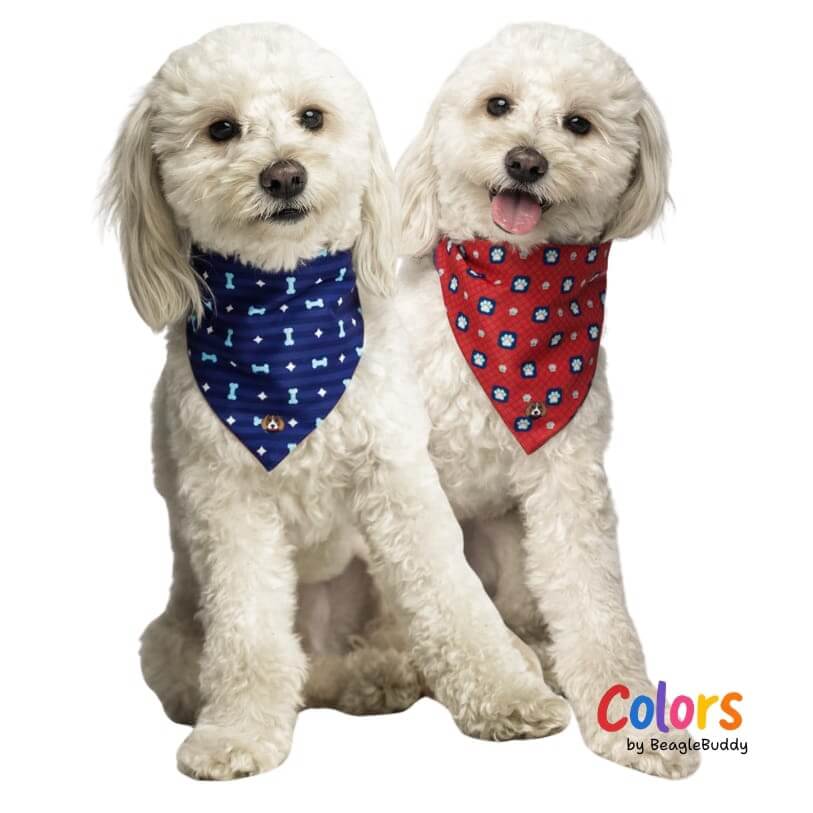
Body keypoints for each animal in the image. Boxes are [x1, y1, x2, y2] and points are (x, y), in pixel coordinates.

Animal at [102, 23, 562, 780]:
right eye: (221, 129)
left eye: (312, 117)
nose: (285, 174)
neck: (284, 321)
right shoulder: (229, 504)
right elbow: (248, 635)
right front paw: (236, 734)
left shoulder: (397, 477)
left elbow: (451, 594)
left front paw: (507, 695)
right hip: (170, 641)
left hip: (374, 579)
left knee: (391, 640)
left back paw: (384, 675)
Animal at [395, 23, 700, 778]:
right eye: (497, 105)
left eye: (578, 123)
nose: (525, 161)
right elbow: (437, 589)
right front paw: (499, 696)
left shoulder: (568, 477)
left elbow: (593, 600)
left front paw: (630, 720)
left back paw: (541, 652)